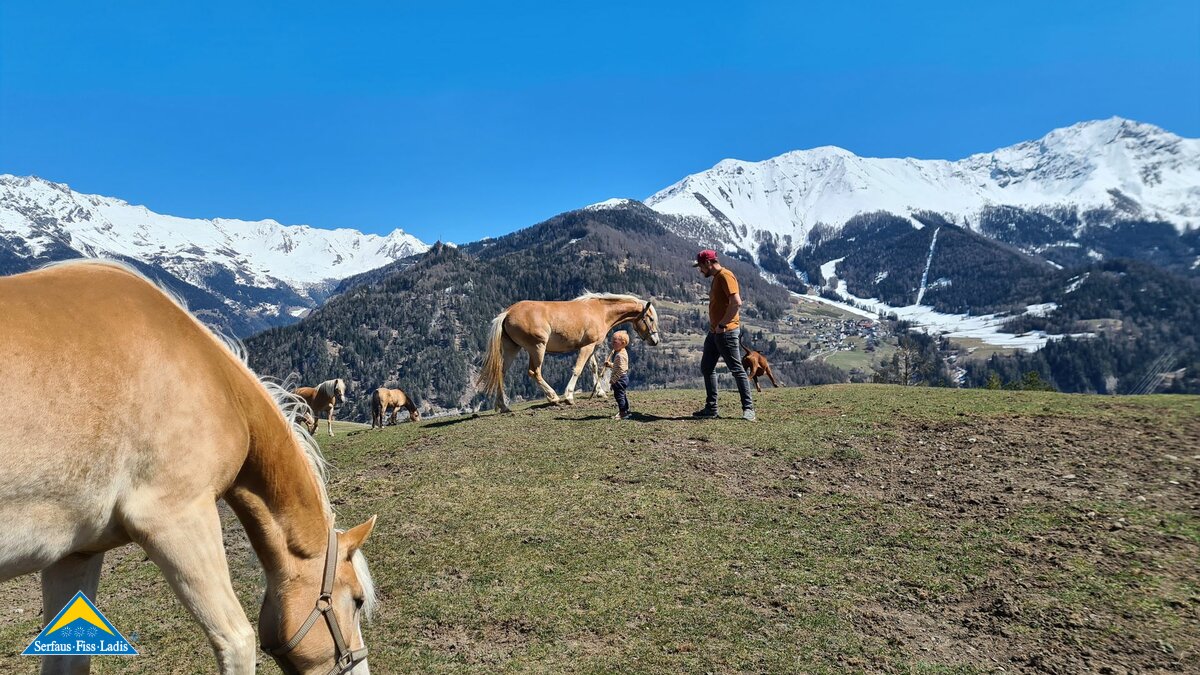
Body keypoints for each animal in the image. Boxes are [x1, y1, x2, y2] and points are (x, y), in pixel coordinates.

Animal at [478, 293, 660, 413]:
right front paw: (569, 396)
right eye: (651, 319)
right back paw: (553, 397)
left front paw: (600, 392)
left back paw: (503, 406)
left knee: (501, 372)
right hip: (537, 347)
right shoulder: (586, 347)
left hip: (512, 348)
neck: (601, 311)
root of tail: (507, 312)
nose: (655, 341)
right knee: (534, 372)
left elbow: (593, 368)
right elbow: (578, 369)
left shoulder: (591, 346)